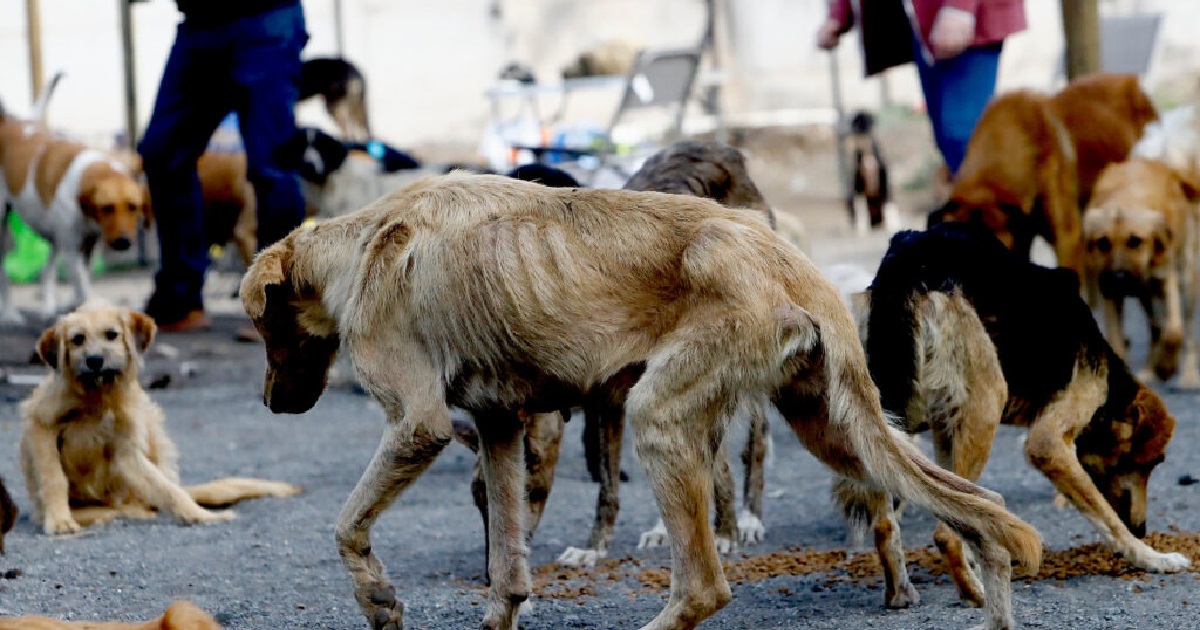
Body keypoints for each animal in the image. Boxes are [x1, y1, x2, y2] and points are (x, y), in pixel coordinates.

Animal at [0, 103, 147, 324]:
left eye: (133, 207)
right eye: (106, 207)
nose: (123, 242)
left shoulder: (86, 245)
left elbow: (81, 283)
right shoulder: (71, 250)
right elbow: (83, 288)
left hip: (56, 238)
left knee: (47, 270)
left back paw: (48, 308)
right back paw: (10, 315)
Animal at [19, 297, 302, 532]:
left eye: (112, 335)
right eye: (77, 339)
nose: (95, 360)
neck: (97, 397)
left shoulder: (125, 449)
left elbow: (166, 488)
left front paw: (199, 514)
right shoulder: (40, 427)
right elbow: (54, 477)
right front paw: (59, 520)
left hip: (152, 428)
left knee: (152, 495)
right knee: (115, 509)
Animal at [241, 170, 1041, 628]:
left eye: (257, 323)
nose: (271, 403)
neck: (362, 238)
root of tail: (784, 256)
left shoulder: (418, 425)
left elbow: (347, 526)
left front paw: (377, 599)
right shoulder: (501, 428)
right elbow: (507, 570)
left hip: (660, 414)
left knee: (704, 589)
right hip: (833, 424)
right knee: (979, 508)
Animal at [854, 222, 1180, 614]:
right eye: (1152, 463)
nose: (1143, 528)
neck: (1111, 388)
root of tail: (907, 262)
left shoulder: (945, 430)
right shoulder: (1048, 444)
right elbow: (1109, 519)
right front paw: (1151, 556)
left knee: (886, 525)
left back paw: (901, 593)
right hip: (986, 405)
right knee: (944, 533)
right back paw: (977, 593)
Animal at [1080, 156, 1200, 388]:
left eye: (1135, 241)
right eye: (1103, 242)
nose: (1118, 279)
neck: (1126, 196)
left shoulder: (1166, 277)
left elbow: (1174, 331)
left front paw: (1167, 368)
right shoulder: (1109, 292)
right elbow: (1117, 341)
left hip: (1186, 279)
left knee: (1187, 330)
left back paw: (1188, 375)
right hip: (1145, 296)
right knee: (1155, 327)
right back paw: (1149, 369)